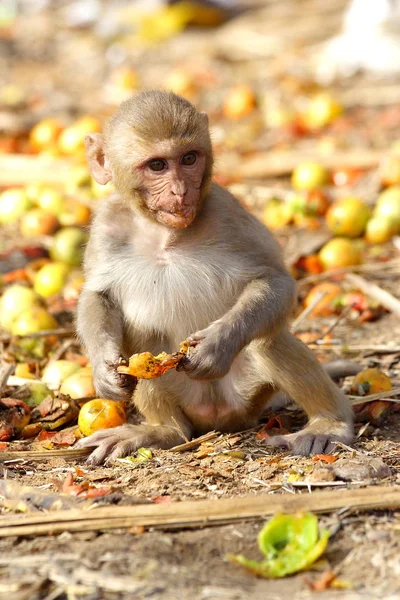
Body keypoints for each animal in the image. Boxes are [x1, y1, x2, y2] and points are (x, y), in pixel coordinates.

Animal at [76, 90, 352, 464]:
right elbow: (98, 295)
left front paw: (216, 345)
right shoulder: (106, 226)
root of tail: (218, 418)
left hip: (248, 394)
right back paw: (163, 431)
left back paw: (330, 423)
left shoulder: (228, 211)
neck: (164, 236)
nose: (180, 191)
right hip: (186, 398)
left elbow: (275, 282)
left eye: (189, 158)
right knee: (142, 341)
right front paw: (103, 368)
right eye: (157, 165)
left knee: (268, 339)